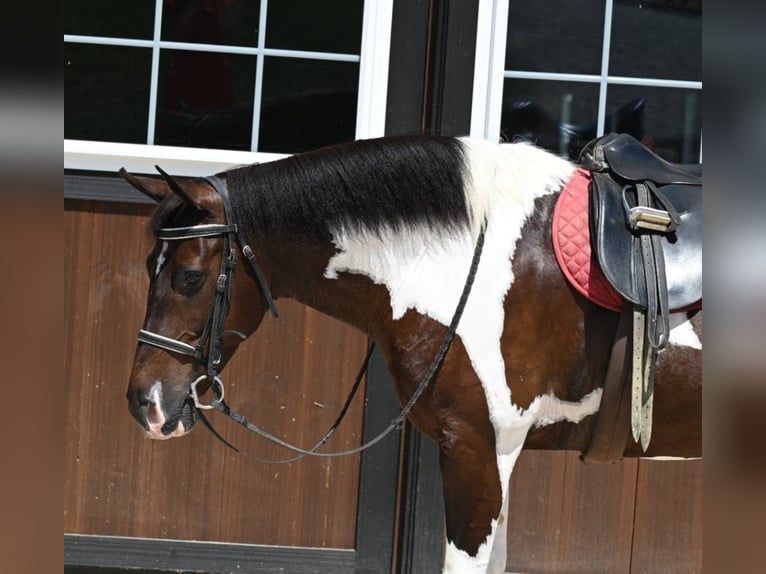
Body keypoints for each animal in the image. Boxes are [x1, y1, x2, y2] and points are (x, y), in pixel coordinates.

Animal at [120, 133, 704, 572]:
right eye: (150, 265)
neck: (467, 260)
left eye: (190, 277)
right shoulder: (499, 454)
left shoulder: (478, 451)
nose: (145, 404)